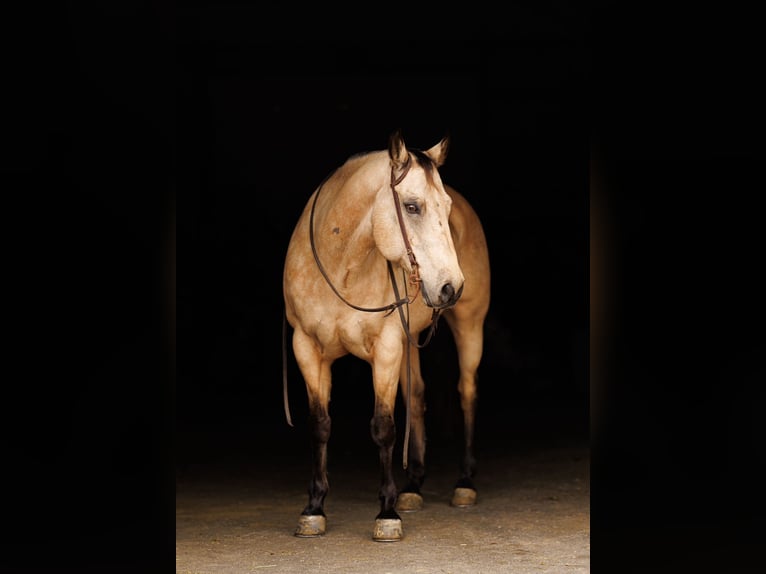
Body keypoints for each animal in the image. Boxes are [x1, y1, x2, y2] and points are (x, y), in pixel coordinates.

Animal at [282, 128, 492, 544]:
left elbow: (383, 427)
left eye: (445, 208)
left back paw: (464, 483)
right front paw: (314, 508)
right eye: (412, 207)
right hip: (411, 345)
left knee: (467, 394)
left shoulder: (387, 349)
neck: (342, 267)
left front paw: (387, 513)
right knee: (418, 397)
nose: (451, 287)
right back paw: (413, 486)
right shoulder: (306, 348)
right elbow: (320, 424)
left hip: (468, 325)